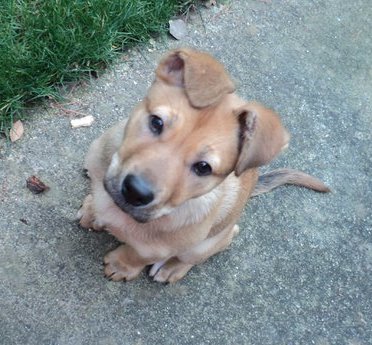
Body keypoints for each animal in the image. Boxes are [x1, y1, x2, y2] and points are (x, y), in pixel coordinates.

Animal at [77, 47, 328, 282]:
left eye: (203, 167)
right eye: (156, 122)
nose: (135, 192)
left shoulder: (155, 249)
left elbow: (136, 255)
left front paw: (121, 265)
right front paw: (91, 211)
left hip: (206, 244)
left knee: (210, 247)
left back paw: (171, 268)